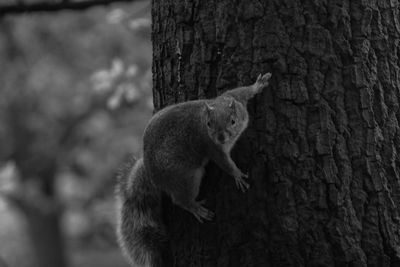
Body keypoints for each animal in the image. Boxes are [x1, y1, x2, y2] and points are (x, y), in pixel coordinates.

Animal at [115, 72, 272, 266]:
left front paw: (259, 84)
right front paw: (237, 176)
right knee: (180, 200)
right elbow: (225, 164)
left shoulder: (234, 97)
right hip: (186, 177)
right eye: (209, 124)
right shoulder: (212, 148)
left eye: (233, 121)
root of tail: (152, 175)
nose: (220, 137)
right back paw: (195, 208)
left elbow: (244, 90)